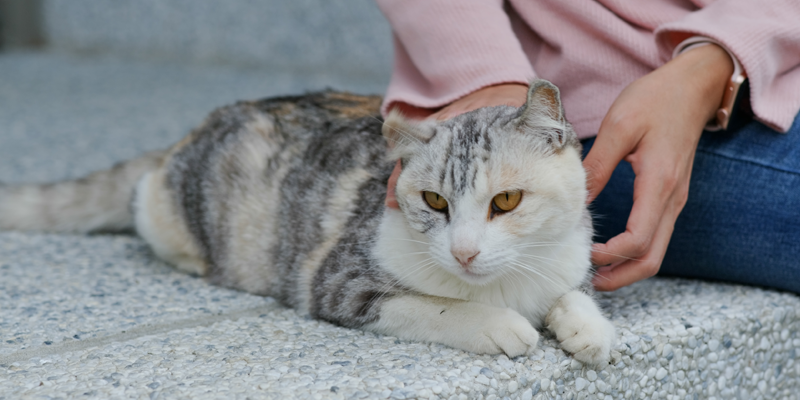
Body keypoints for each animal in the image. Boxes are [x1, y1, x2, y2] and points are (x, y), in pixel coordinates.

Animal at [0, 79, 612, 364]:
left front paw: (589, 329)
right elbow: (438, 306)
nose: (463, 251)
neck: (509, 284)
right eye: (434, 202)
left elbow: (573, 290)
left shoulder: (569, 258)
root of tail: (190, 133)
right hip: (165, 208)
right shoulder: (339, 282)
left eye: (506, 200)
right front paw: (499, 323)